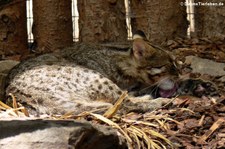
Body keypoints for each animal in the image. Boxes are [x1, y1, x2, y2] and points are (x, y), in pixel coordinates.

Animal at [5, 31, 178, 115]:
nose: (180, 74)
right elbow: (122, 100)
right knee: (122, 104)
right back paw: (154, 101)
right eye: (171, 64)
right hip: (96, 78)